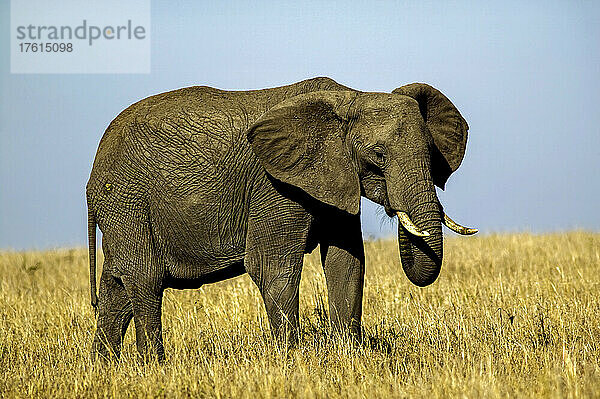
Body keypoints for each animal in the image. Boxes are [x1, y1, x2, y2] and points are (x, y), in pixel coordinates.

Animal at [86, 76, 476, 362]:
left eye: (432, 154)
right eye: (378, 155)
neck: (353, 96)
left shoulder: (333, 181)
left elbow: (347, 262)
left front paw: (351, 357)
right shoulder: (275, 186)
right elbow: (272, 266)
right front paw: (293, 362)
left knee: (116, 288)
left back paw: (106, 368)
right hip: (127, 201)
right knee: (145, 279)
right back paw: (154, 366)